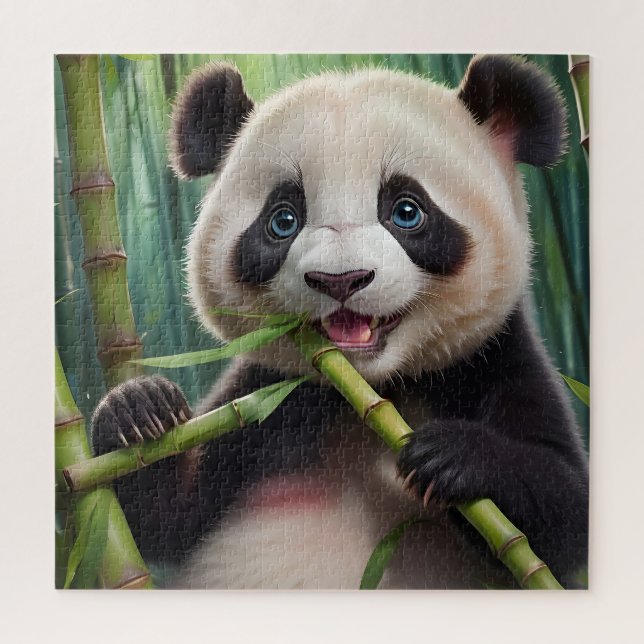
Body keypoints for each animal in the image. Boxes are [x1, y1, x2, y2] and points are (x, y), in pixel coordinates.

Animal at [92, 55, 589, 589]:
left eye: (407, 211)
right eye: (282, 220)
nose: (340, 279)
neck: (371, 392)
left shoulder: (491, 359)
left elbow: (562, 516)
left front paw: (451, 457)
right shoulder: (268, 401)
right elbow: (162, 515)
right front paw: (139, 411)